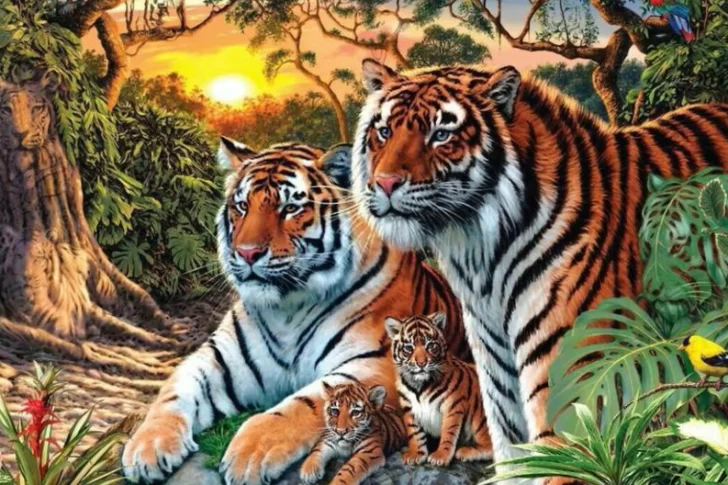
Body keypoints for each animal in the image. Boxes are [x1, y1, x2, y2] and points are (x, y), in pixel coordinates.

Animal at [121, 136, 472, 485]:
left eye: (290, 208)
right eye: (242, 206)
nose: (247, 253)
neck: (287, 309)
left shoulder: (376, 363)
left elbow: (306, 402)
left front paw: (250, 453)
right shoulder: (219, 358)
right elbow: (174, 390)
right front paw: (147, 447)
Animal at [384, 312, 492, 467]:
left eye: (430, 345)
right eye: (409, 348)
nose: (421, 363)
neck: (419, 386)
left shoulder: (453, 406)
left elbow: (448, 431)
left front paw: (441, 456)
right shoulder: (408, 408)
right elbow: (414, 432)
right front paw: (416, 453)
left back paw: (465, 452)